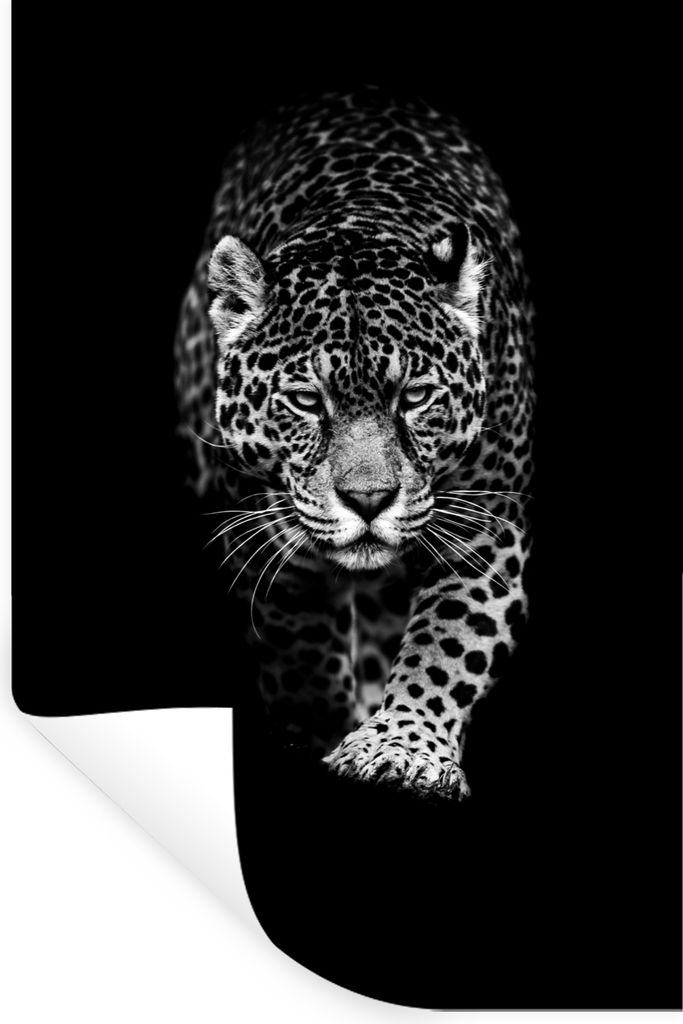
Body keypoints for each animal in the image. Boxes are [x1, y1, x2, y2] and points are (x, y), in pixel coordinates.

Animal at [174, 85, 534, 799]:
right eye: (307, 401)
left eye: (415, 397)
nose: (369, 501)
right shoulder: (267, 542)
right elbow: (301, 652)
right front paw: (317, 734)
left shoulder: (484, 534)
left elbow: (448, 642)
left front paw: (403, 748)